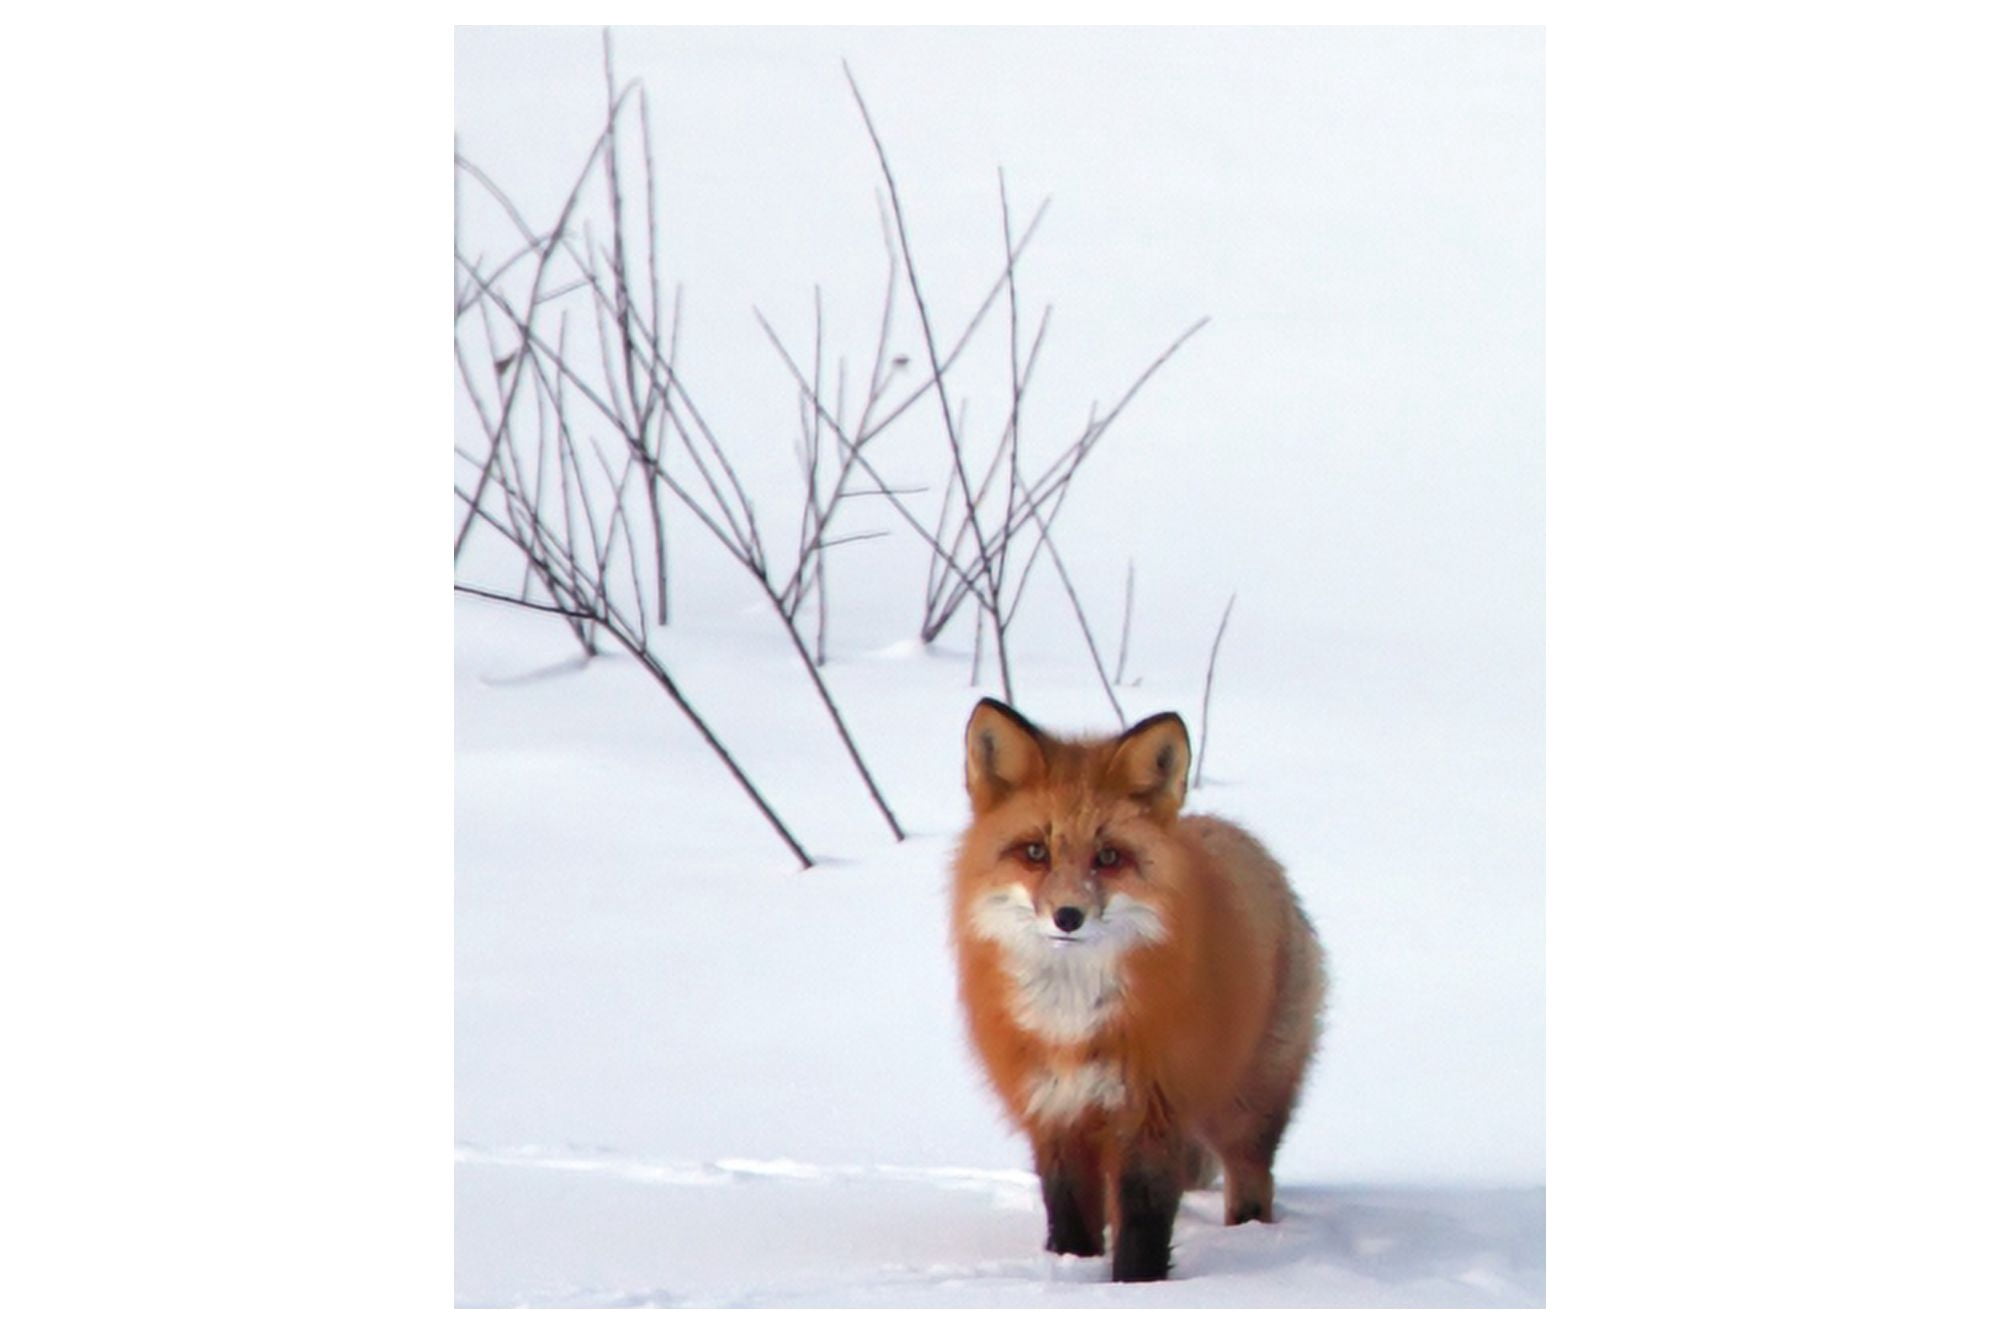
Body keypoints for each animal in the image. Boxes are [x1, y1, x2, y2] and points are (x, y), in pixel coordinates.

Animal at [950, 697, 1327, 1282]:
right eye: (1035, 851)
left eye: (1108, 857)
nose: (1068, 916)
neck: (1073, 1019)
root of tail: (1233, 830)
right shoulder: (1054, 1112)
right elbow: (1071, 1217)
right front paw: (1072, 1269)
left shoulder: (1153, 1108)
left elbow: (1145, 1224)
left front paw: (1136, 1288)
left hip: (1245, 1108)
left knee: (1251, 1181)